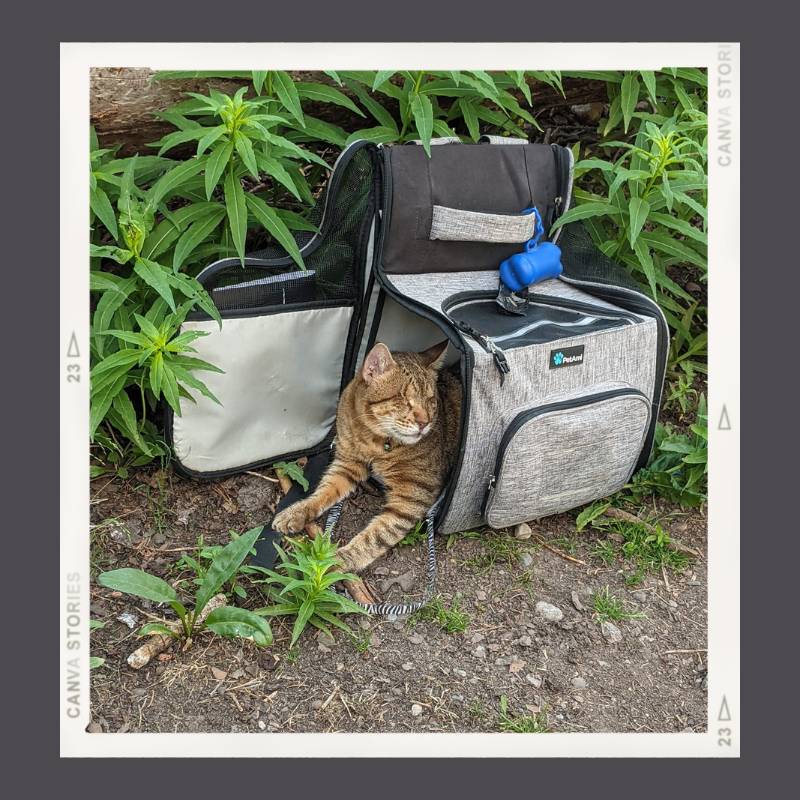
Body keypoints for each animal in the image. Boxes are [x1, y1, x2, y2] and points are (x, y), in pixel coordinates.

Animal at [272, 338, 462, 576]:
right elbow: (323, 491)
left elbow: (377, 535)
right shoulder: (347, 464)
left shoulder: (413, 496)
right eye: (403, 398)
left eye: (430, 400)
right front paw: (297, 511)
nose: (424, 422)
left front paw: (338, 559)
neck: (375, 440)